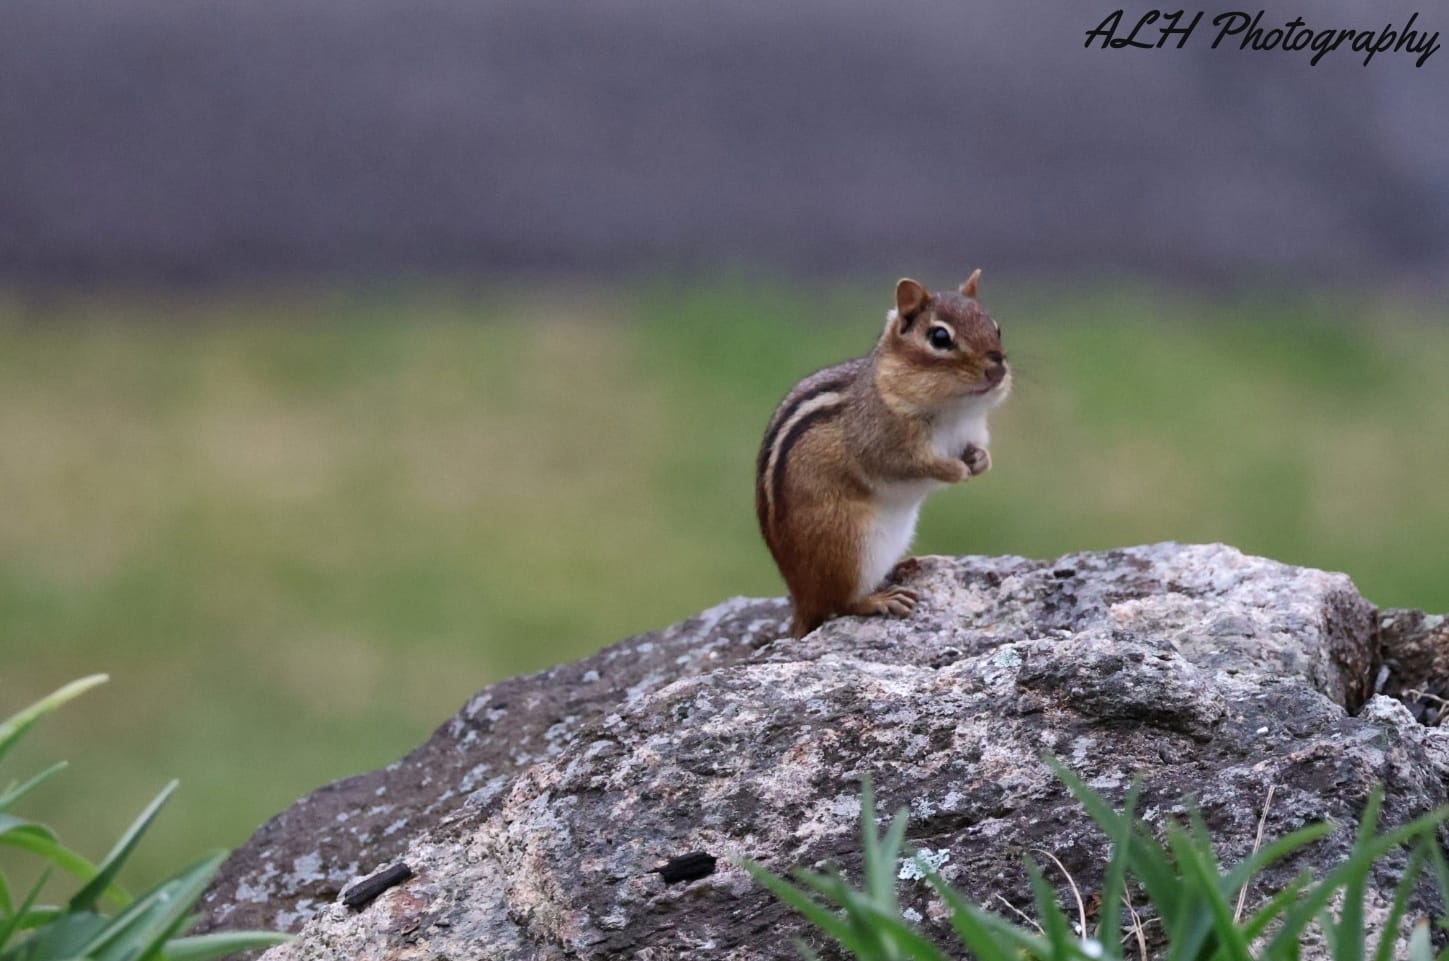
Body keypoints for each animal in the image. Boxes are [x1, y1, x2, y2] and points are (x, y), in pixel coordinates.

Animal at [755, 271, 1010, 638]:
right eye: (939, 337)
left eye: (996, 327)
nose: (998, 369)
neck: (954, 412)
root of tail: (801, 597)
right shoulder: (879, 443)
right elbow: (906, 465)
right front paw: (954, 470)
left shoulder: (973, 430)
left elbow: (977, 450)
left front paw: (979, 461)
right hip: (849, 544)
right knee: (839, 603)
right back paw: (878, 600)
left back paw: (908, 565)